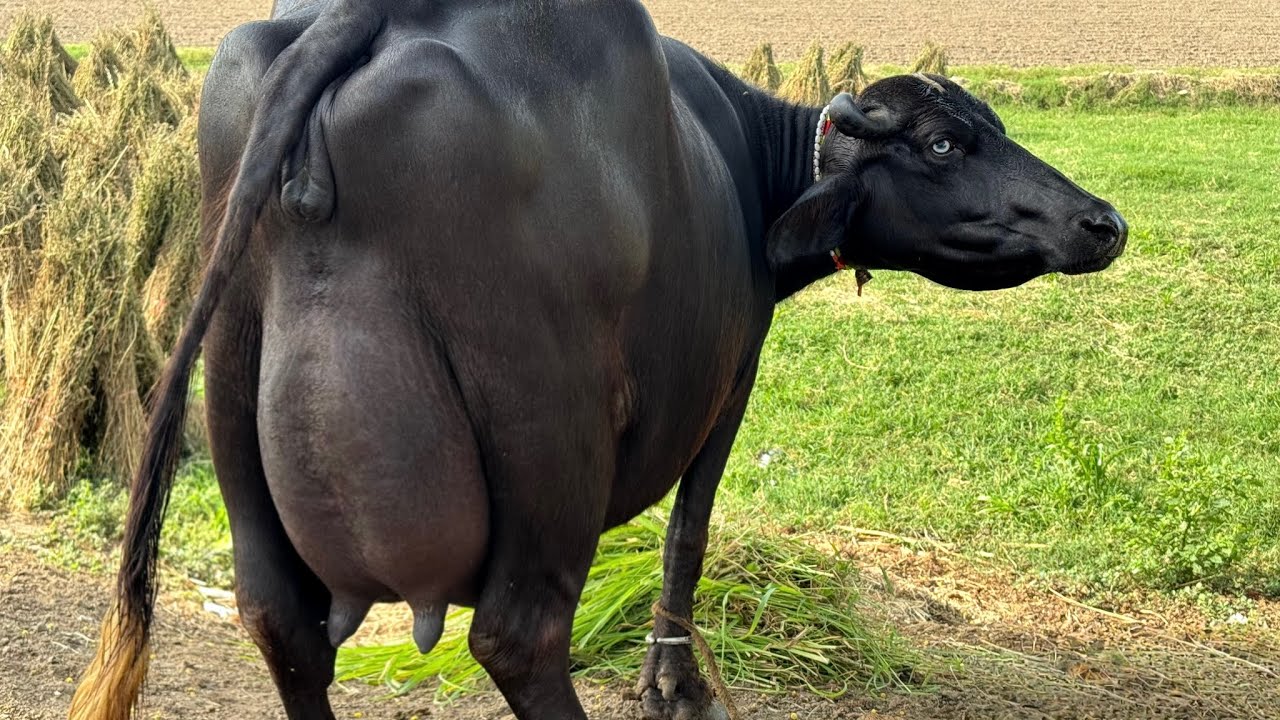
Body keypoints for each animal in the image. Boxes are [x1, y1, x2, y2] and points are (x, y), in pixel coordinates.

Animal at [71, 0, 1126, 719]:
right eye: (945, 143)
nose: (1101, 222)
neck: (744, 164)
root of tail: (366, 12)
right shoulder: (734, 374)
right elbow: (688, 531)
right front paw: (674, 681)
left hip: (231, 399)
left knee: (280, 623)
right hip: (551, 443)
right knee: (520, 636)